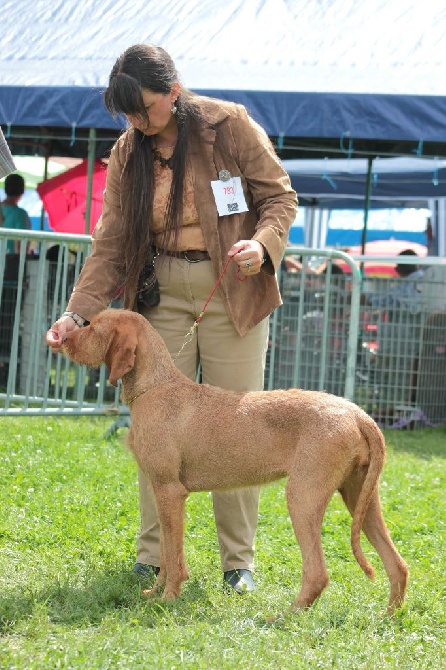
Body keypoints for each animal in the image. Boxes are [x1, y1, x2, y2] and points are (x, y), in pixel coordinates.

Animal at [61, 310, 408, 616]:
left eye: (93, 327)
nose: (62, 337)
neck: (155, 387)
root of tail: (359, 414)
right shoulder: (161, 492)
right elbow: (165, 552)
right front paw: (155, 592)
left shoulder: (170, 491)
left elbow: (172, 555)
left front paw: (167, 600)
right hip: (360, 496)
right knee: (398, 564)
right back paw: (389, 617)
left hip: (303, 497)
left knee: (318, 573)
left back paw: (286, 616)